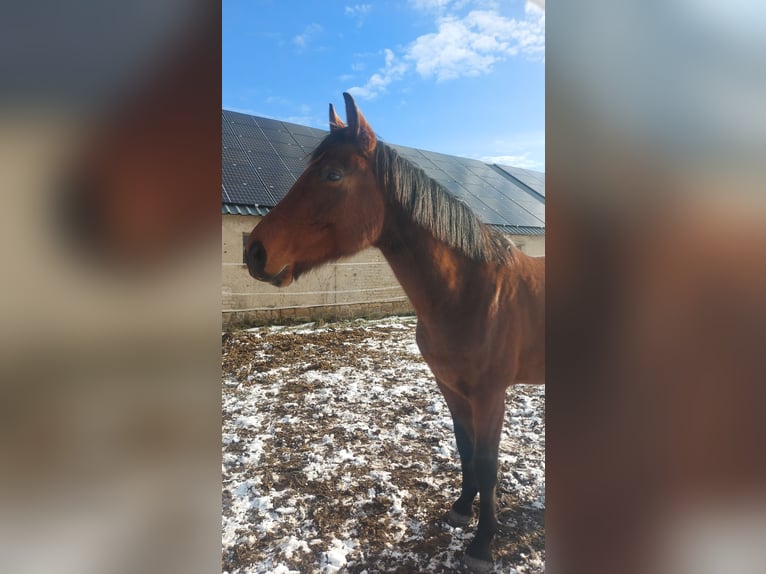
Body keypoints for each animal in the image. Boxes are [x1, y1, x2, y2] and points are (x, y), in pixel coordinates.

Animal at [245, 93, 545, 572]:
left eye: (333, 174)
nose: (255, 251)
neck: (472, 293)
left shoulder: (490, 396)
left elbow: (487, 463)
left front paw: (482, 544)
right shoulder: (451, 388)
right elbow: (465, 450)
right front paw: (461, 510)